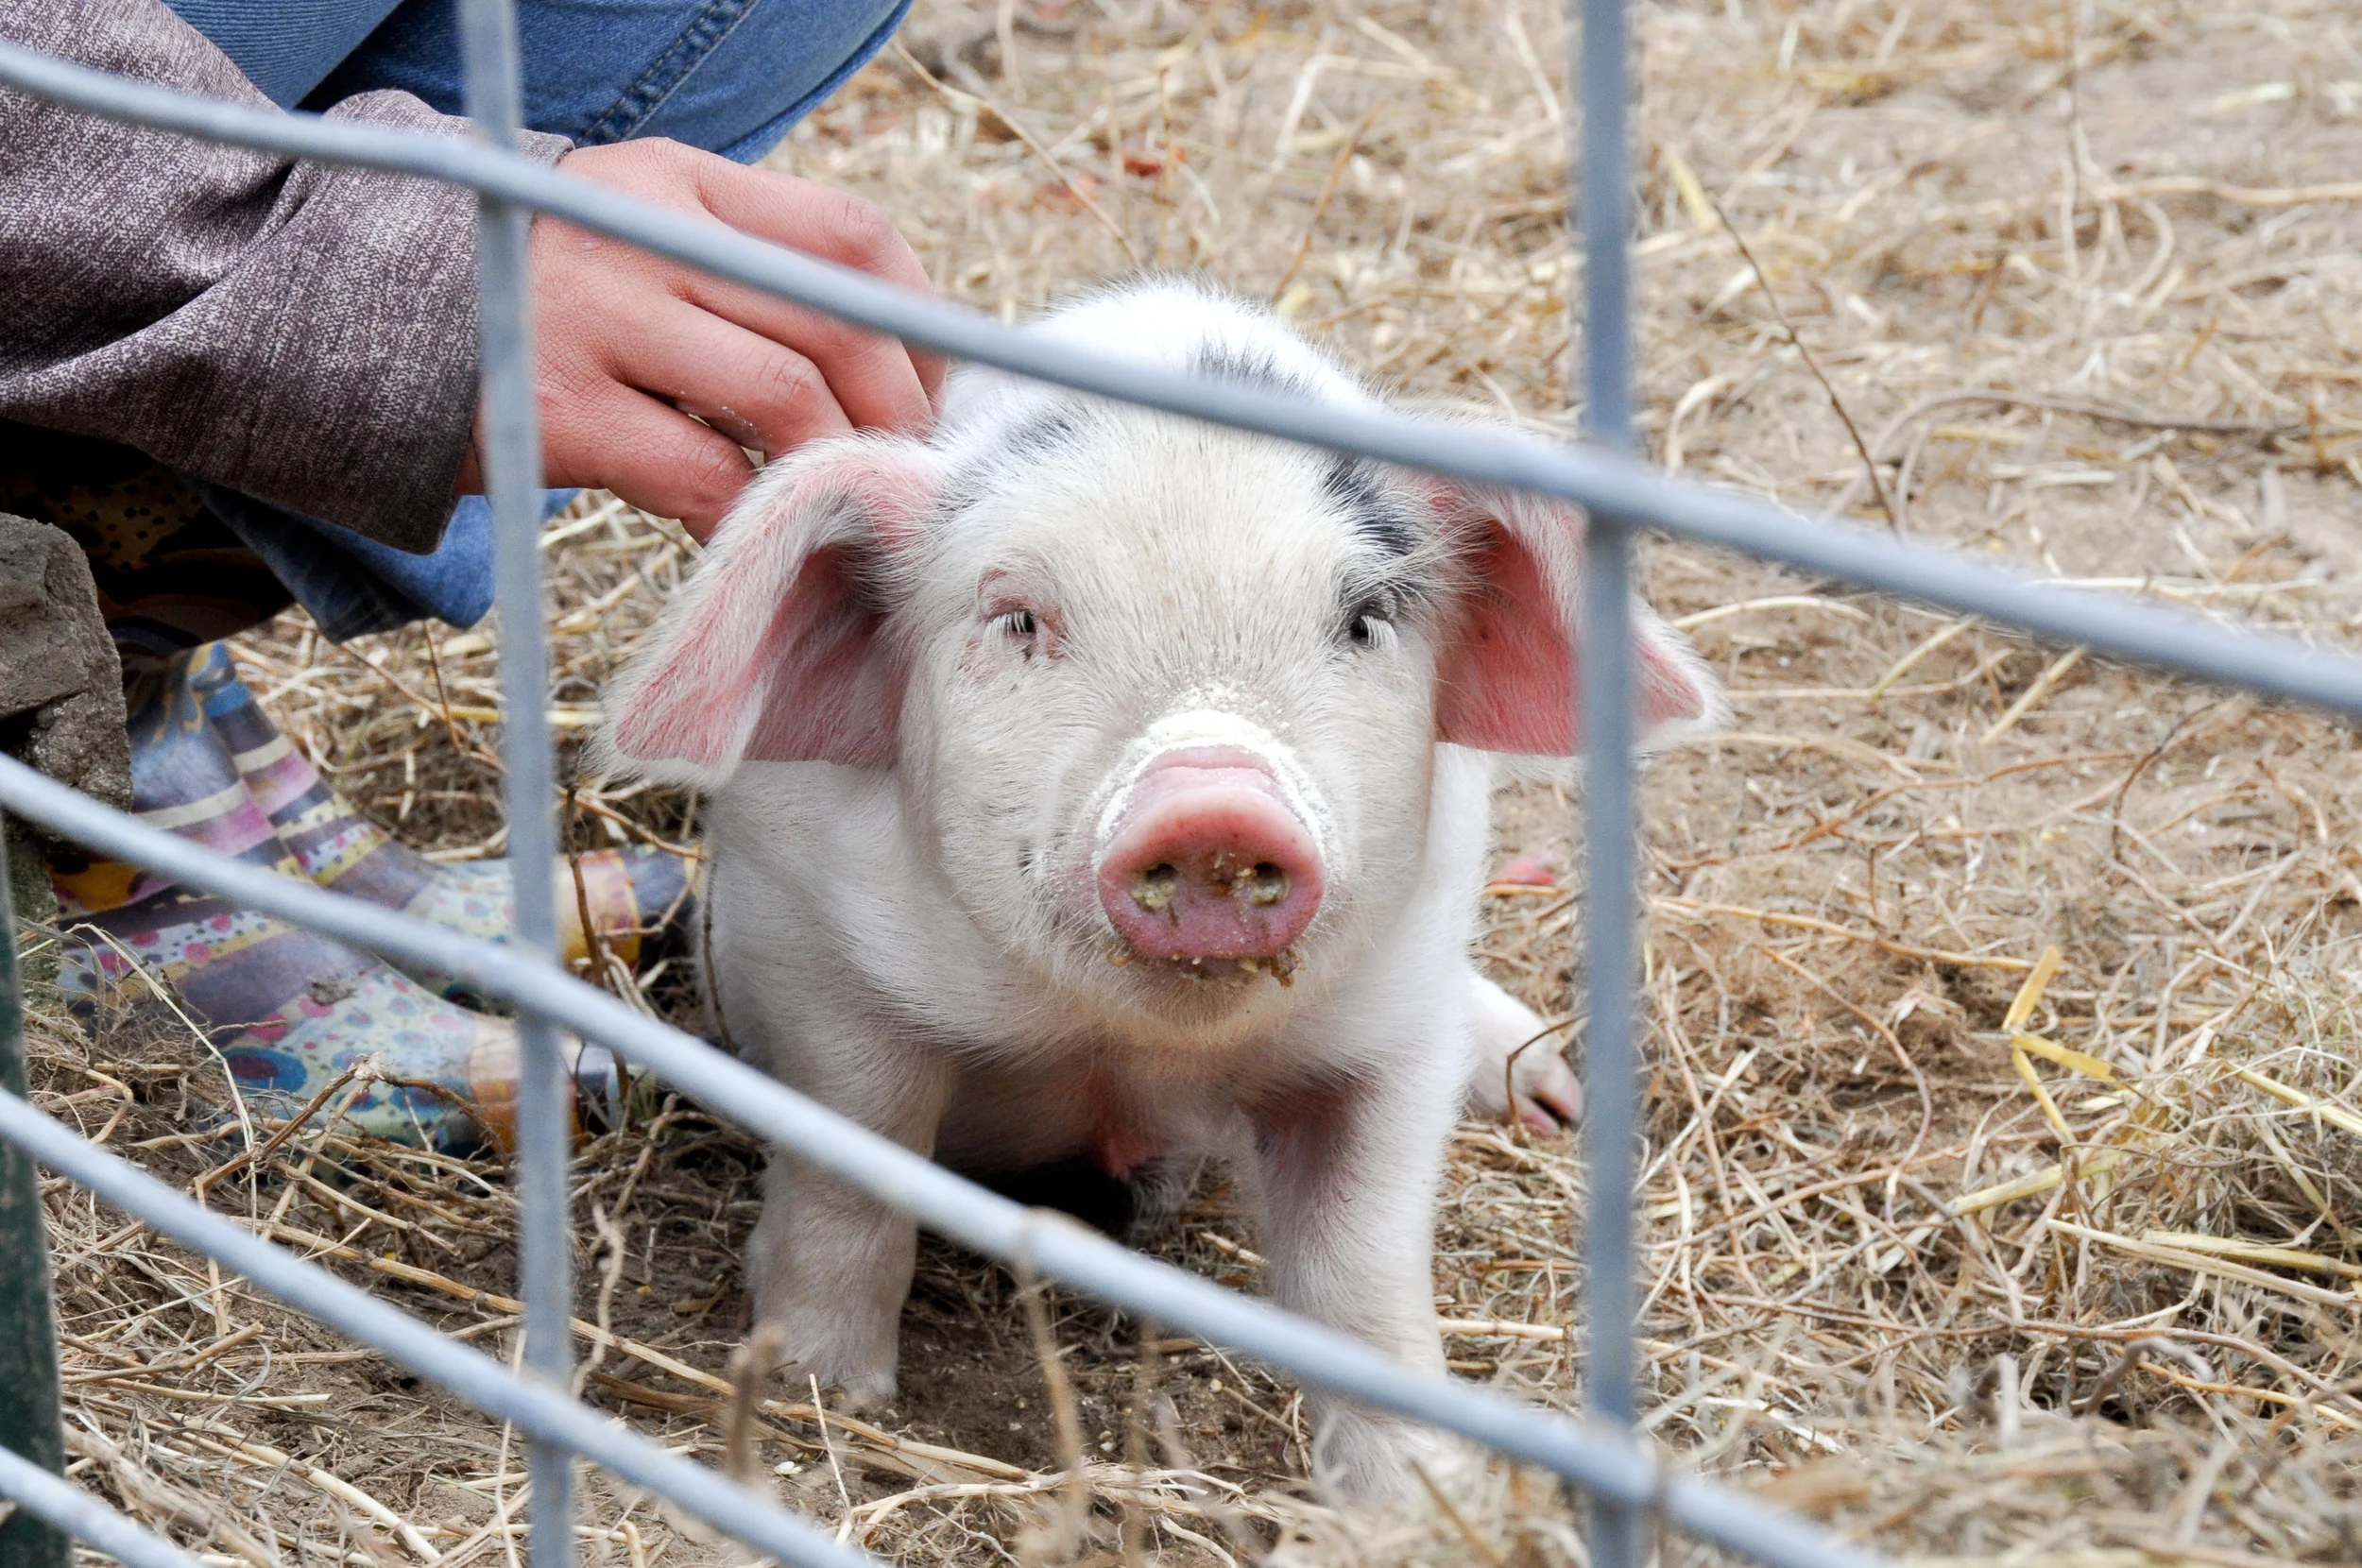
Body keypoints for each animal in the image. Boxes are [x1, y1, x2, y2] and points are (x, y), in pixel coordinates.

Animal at [594, 280, 1723, 1498]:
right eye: (1018, 616)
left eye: (1365, 618)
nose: (1213, 798)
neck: (1125, 1050)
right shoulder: (810, 952)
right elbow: (853, 1166)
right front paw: (823, 1392)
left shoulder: (1393, 1021)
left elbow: (1363, 1262)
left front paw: (1411, 1496)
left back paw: (1552, 1099)